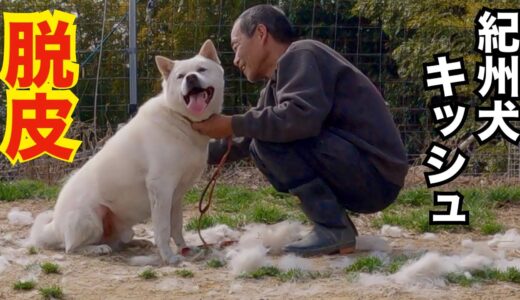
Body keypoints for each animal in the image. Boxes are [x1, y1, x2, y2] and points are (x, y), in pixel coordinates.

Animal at [28, 39, 223, 264]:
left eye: (201, 69)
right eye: (180, 76)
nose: (191, 78)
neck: (181, 120)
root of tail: (55, 227)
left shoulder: (176, 196)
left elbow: (176, 227)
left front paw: (185, 249)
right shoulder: (161, 188)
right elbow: (163, 229)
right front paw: (169, 257)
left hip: (123, 228)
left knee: (119, 241)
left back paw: (139, 242)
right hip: (91, 219)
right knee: (71, 247)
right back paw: (98, 249)